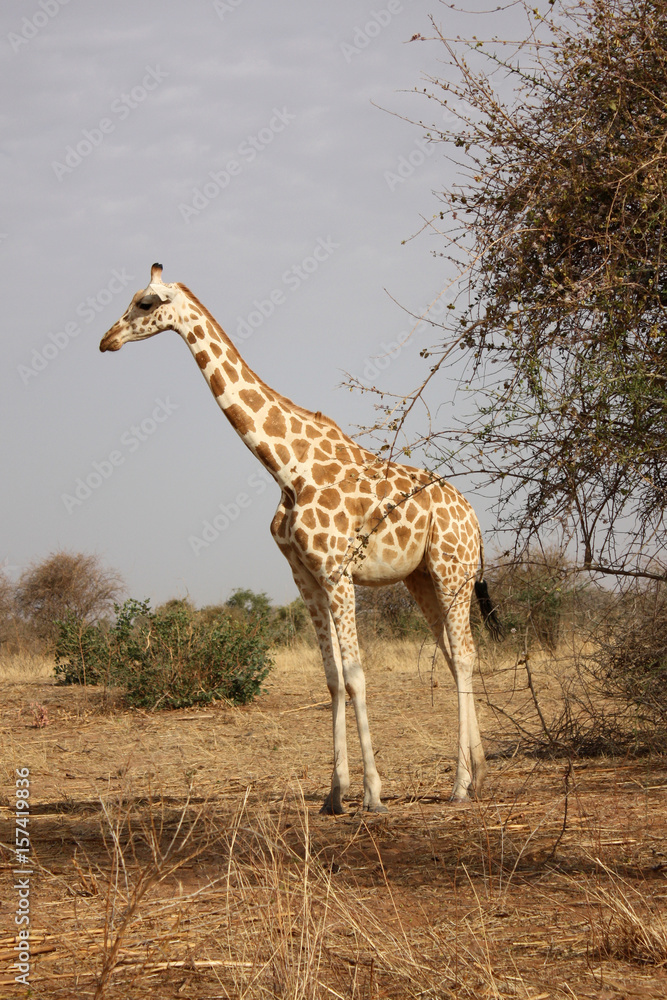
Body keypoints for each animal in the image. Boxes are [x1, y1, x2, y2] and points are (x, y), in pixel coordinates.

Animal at [100, 264, 499, 812]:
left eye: (145, 302)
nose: (107, 340)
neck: (287, 468)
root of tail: (474, 518)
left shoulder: (337, 573)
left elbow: (355, 675)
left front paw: (373, 794)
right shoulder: (303, 576)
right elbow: (331, 679)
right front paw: (335, 793)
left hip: (451, 571)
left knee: (463, 654)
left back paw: (460, 785)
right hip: (421, 578)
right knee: (456, 657)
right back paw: (476, 776)